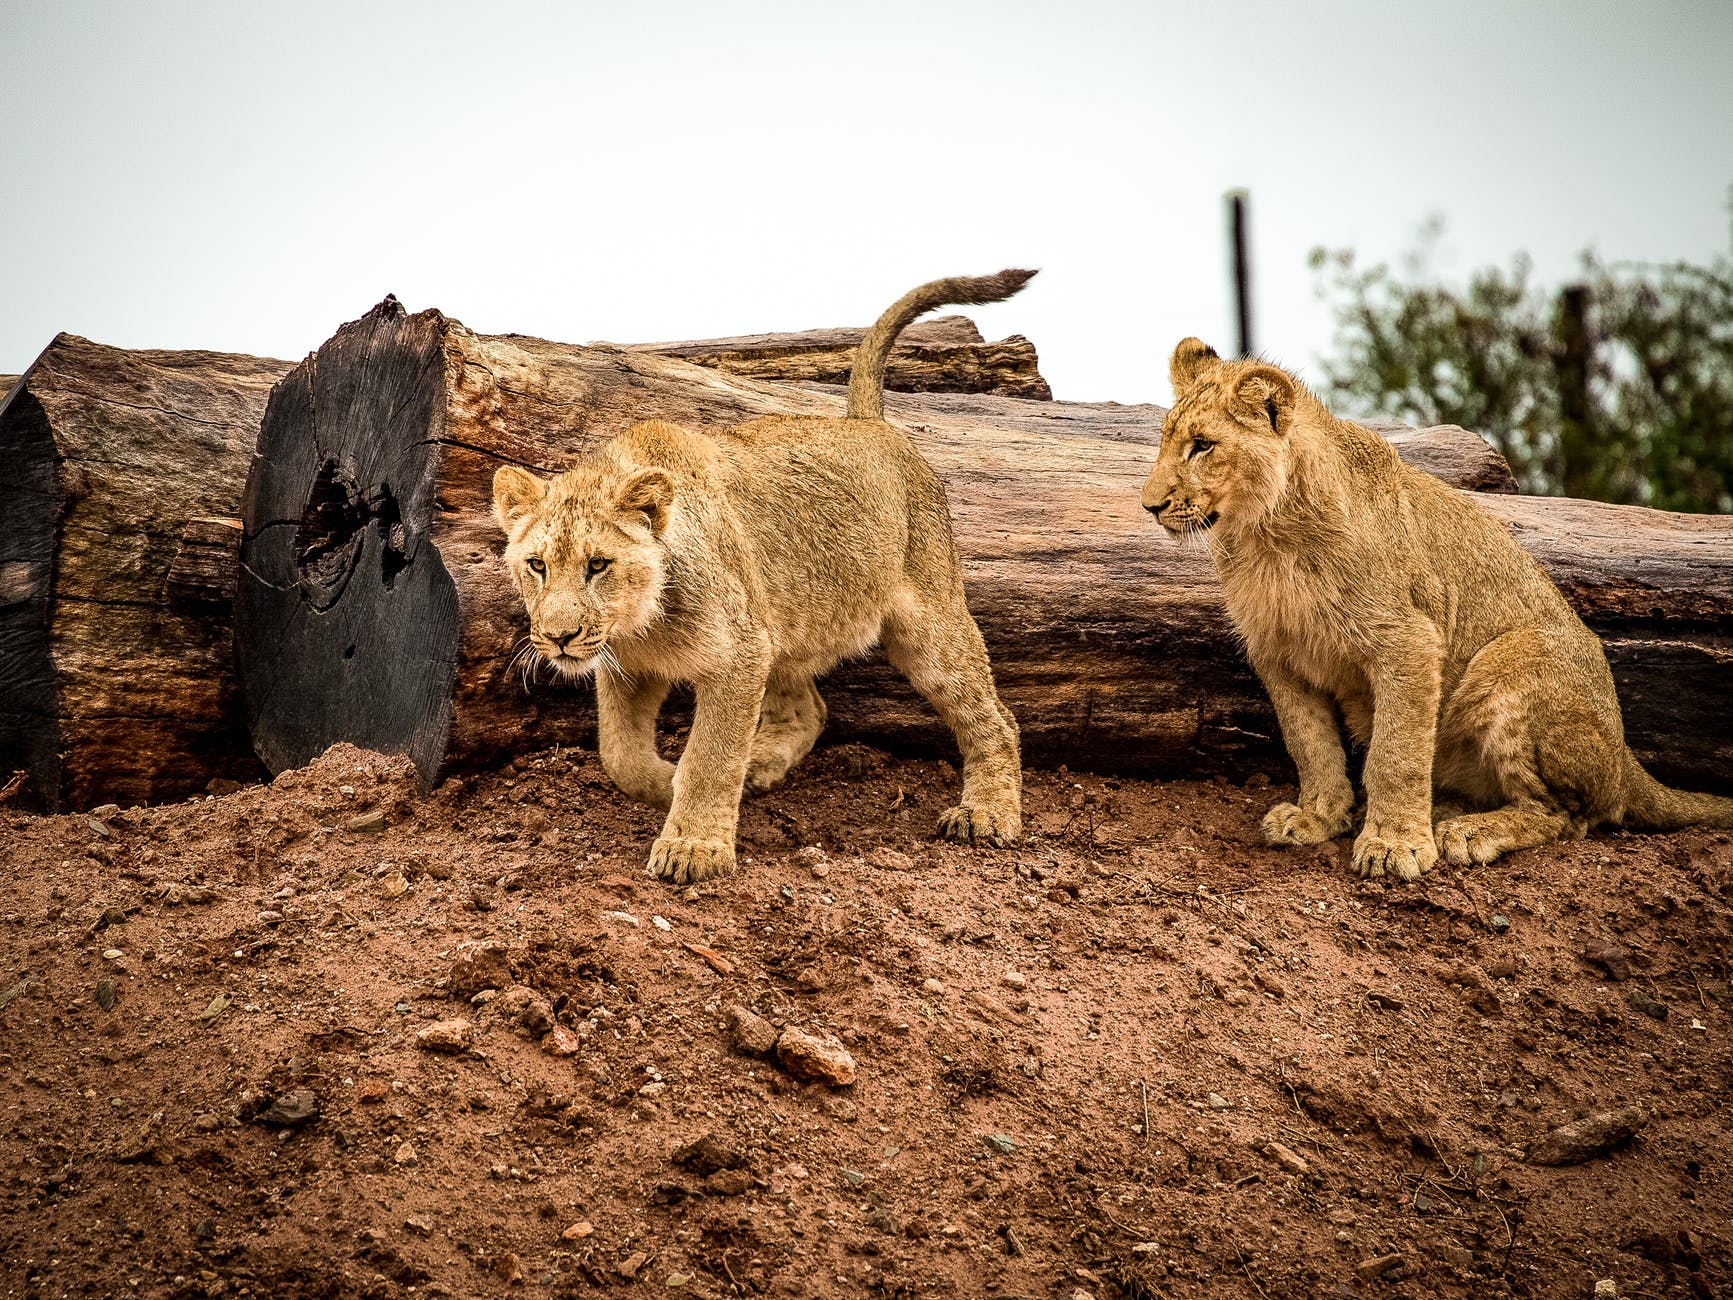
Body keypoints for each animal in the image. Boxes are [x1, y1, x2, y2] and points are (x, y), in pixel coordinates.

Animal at [491, 272, 1028, 883]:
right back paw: (759, 767)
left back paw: (987, 813)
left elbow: (710, 755)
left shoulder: (738, 654)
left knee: (995, 718)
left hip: (926, 622)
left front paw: (692, 845)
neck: (641, 624)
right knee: (810, 712)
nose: (558, 638)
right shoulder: (632, 666)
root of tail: (867, 424)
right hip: (781, 624)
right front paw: (665, 784)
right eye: (537, 565)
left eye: (598, 565)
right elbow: (618, 755)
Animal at [1140, 338, 1733, 880]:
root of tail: (1625, 757)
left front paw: (1394, 843)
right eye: (1168, 441)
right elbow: (1310, 744)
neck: (1265, 537)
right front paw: (1319, 817)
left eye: (1202, 446)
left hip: (1517, 659)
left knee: (1568, 815)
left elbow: (1394, 753)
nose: (1149, 506)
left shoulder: (1408, 641)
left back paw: (1467, 831)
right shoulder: (1279, 653)